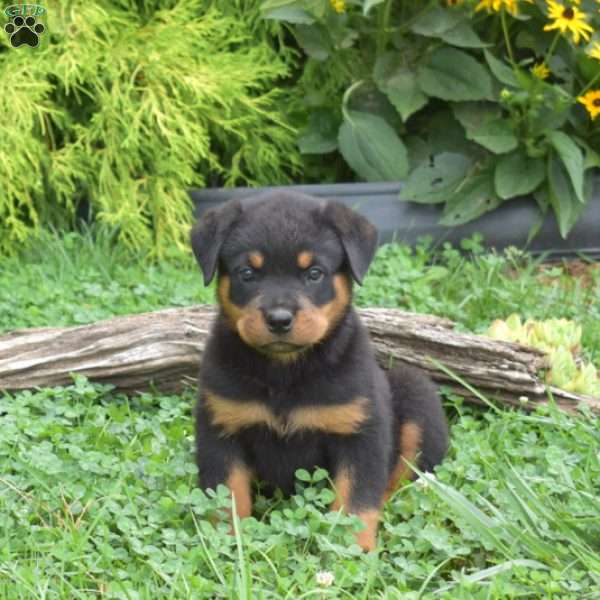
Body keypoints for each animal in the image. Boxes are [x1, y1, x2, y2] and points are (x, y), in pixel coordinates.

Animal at [190, 190, 448, 552]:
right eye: (247, 273)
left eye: (314, 273)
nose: (279, 319)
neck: (284, 372)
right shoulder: (221, 428)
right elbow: (227, 498)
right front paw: (228, 544)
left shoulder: (360, 434)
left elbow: (356, 501)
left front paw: (353, 550)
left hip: (416, 395)